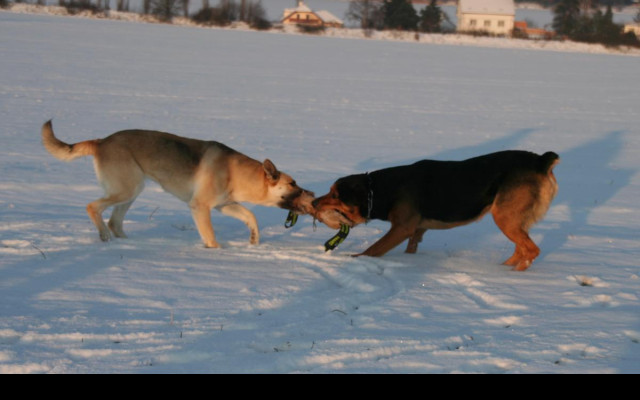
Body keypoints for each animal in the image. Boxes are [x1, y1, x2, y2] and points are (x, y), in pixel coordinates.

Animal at [41, 120, 314, 248]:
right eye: (293, 183)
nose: (311, 194)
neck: (237, 173)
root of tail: (101, 141)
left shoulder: (224, 205)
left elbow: (251, 216)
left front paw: (254, 240)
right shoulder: (200, 207)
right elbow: (211, 236)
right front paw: (217, 251)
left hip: (131, 192)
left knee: (114, 221)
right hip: (127, 189)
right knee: (93, 208)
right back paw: (104, 236)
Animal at [312, 151, 556, 272]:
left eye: (334, 194)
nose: (313, 202)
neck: (380, 189)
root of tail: (541, 160)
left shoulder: (402, 228)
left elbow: (373, 249)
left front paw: (354, 260)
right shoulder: (417, 231)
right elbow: (411, 248)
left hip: (504, 216)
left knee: (532, 250)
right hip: (513, 219)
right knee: (522, 249)